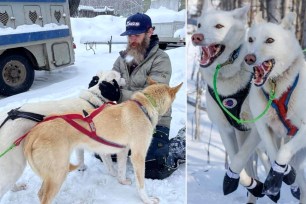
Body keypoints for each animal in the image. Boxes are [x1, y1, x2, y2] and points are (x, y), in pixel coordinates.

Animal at [23, 78, 182, 204]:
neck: (144, 105)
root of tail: (34, 132)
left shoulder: (123, 151)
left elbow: (121, 170)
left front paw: (122, 181)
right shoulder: (138, 156)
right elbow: (141, 185)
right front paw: (147, 200)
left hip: (52, 175)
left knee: (40, 193)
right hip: (58, 174)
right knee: (44, 197)